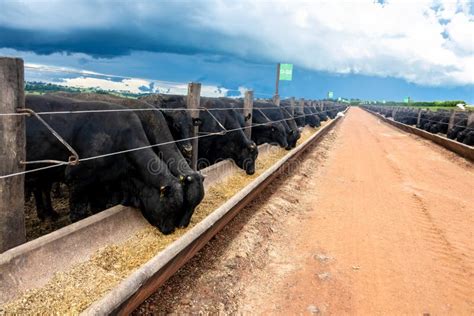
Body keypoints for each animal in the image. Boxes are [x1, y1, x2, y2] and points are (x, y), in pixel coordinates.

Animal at [25, 95, 185, 233]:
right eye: (170, 207)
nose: (169, 231)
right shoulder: (77, 182)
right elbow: (78, 214)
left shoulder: (101, 183)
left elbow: (98, 207)